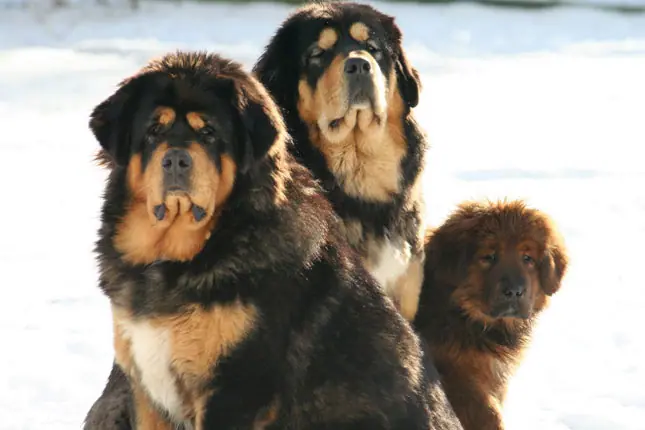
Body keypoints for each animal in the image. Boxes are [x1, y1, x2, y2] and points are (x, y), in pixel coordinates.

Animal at [84, 51, 462, 430]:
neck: (180, 259)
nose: (176, 159)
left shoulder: (234, 392)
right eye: (153, 131)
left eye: (209, 133)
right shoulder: (148, 393)